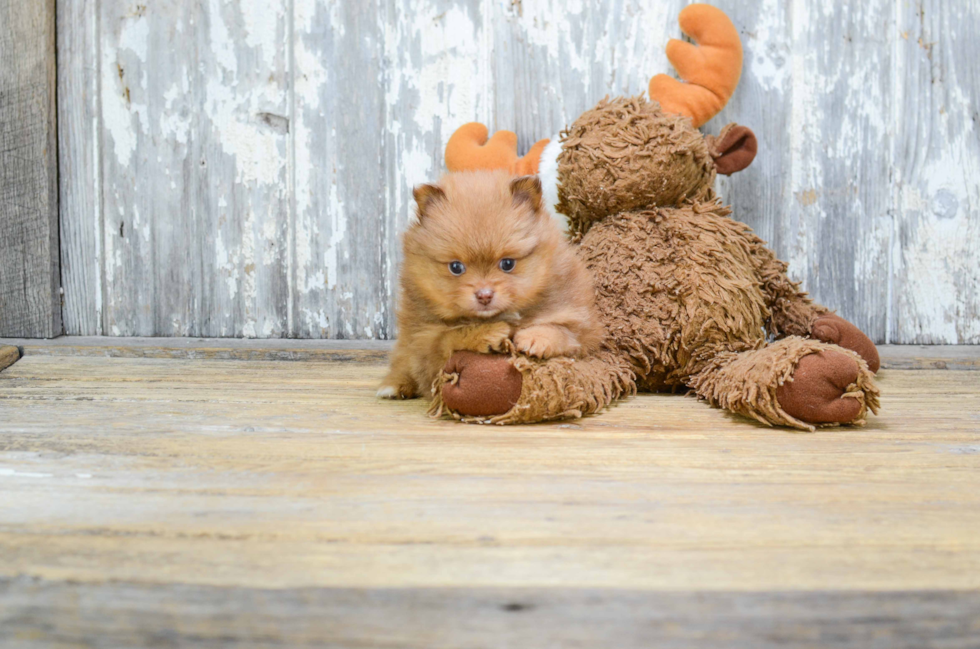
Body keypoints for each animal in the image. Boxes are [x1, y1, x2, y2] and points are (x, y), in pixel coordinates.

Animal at [378, 168, 600, 400]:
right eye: (456, 267)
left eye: (507, 263)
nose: (484, 295)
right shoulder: (425, 344)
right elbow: (451, 336)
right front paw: (488, 333)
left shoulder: (582, 324)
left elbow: (563, 330)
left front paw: (536, 338)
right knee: (401, 361)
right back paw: (394, 385)